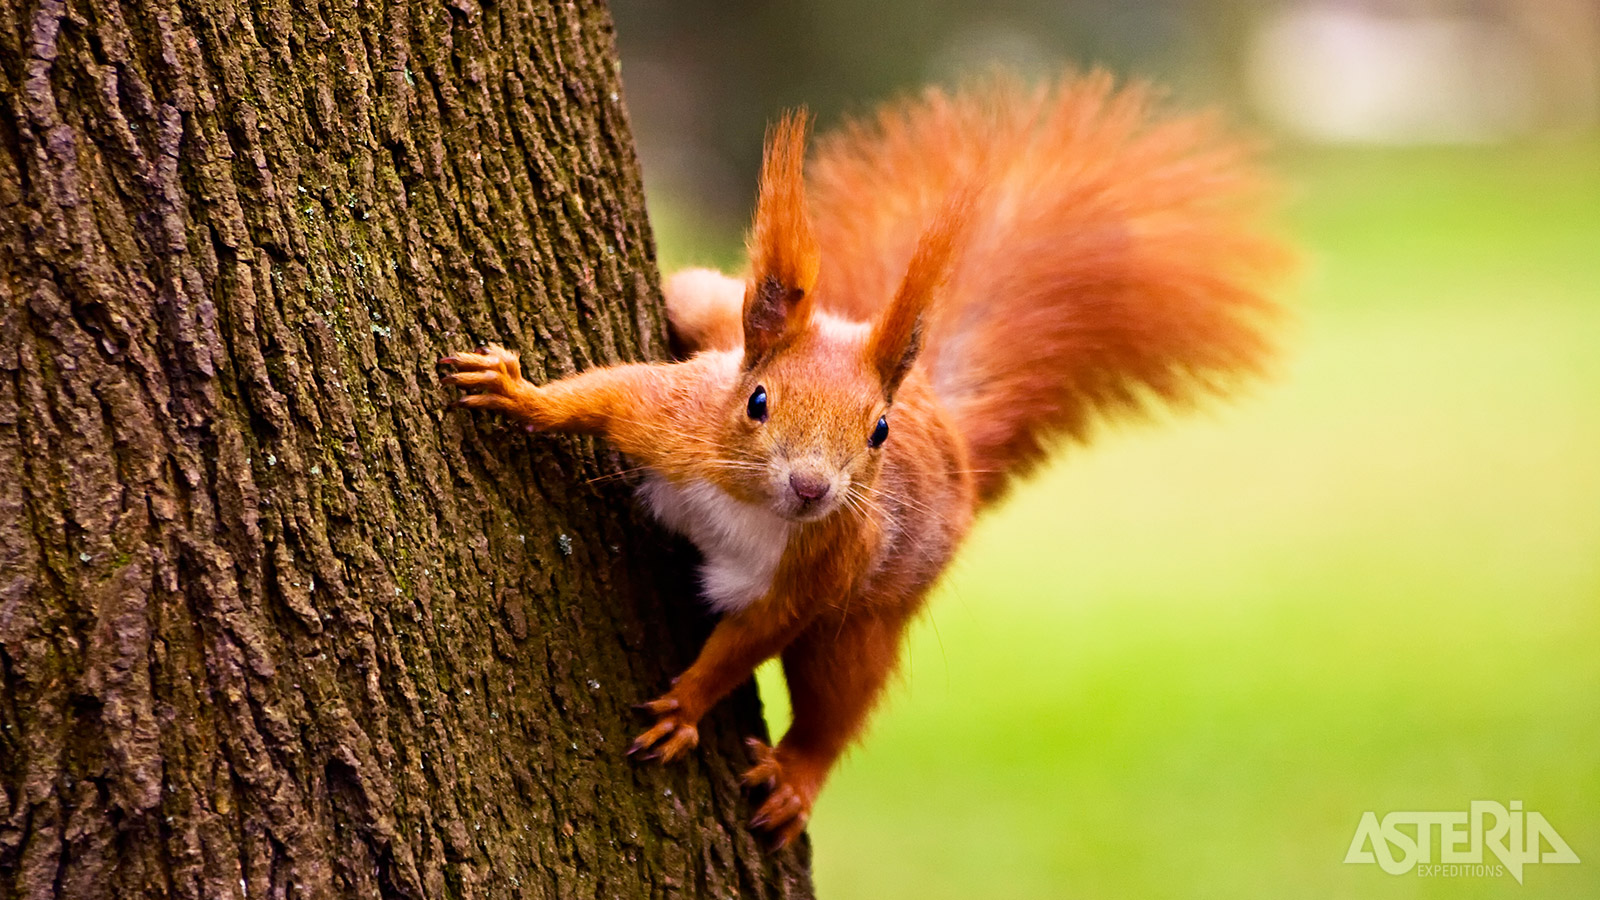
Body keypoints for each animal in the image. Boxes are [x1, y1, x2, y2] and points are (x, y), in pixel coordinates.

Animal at [438, 73, 1286, 845]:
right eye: (757, 402)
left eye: (878, 432)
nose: (812, 487)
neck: (749, 503)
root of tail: (950, 433)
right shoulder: (674, 421)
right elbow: (604, 395)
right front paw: (518, 393)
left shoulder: (822, 569)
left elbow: (749, 640)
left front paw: (687, 706)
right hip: (710, 311)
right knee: (696, 298)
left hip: (868, 618)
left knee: (837, 699)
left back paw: (797, 776)